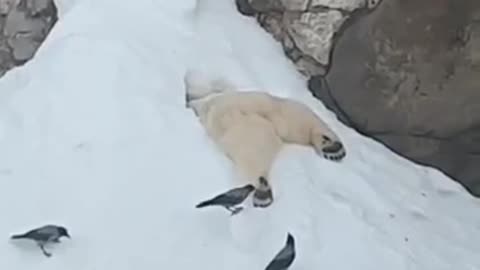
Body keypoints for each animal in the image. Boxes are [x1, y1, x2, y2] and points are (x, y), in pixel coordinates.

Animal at [184, 70, 344, 208]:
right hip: (273, 109)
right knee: (301, 118)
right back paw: (333, 148)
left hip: (242, 130)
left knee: (249, 156)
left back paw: (262, 193)